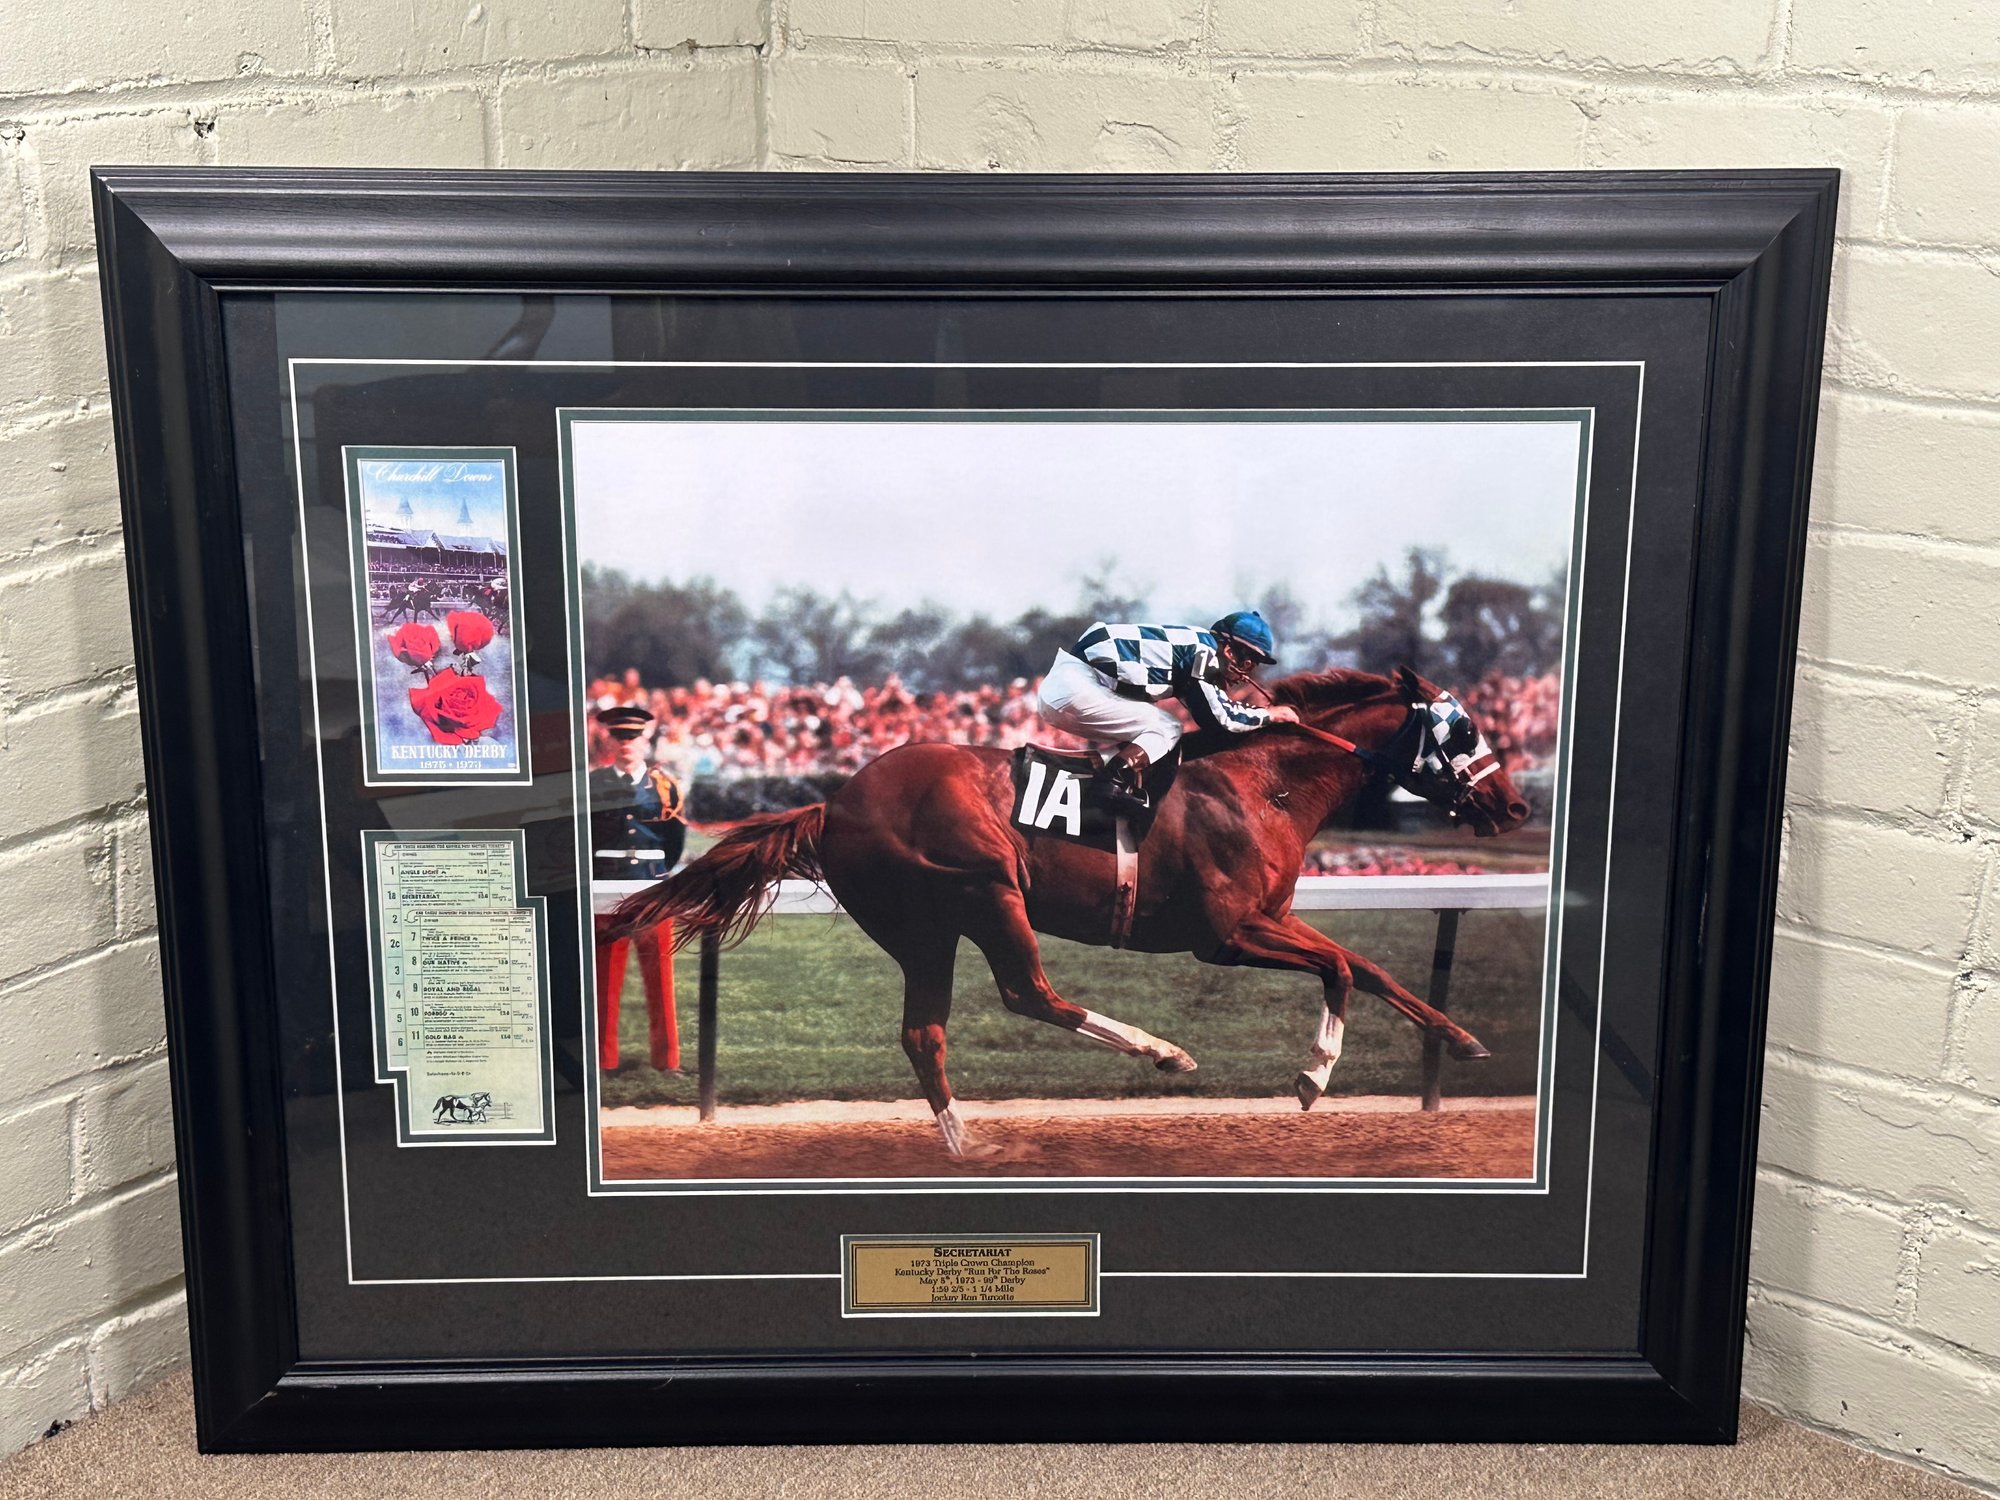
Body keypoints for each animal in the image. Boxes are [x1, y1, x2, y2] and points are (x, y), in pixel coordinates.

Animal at [612, 666, 1531, 1159]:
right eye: (1465, 728)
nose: (1517, 806)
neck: (1260, 782)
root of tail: (834, 803)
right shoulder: (1226, 935)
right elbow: (1340, 966)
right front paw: (1312, 1077)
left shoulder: (1268, 917)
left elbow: (1367, 965)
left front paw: (1462, 1038)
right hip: (986, 890)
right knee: (1030, 993)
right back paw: (1163, 1052)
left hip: (926, 930)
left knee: (924, 1031)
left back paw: (963, 1144)